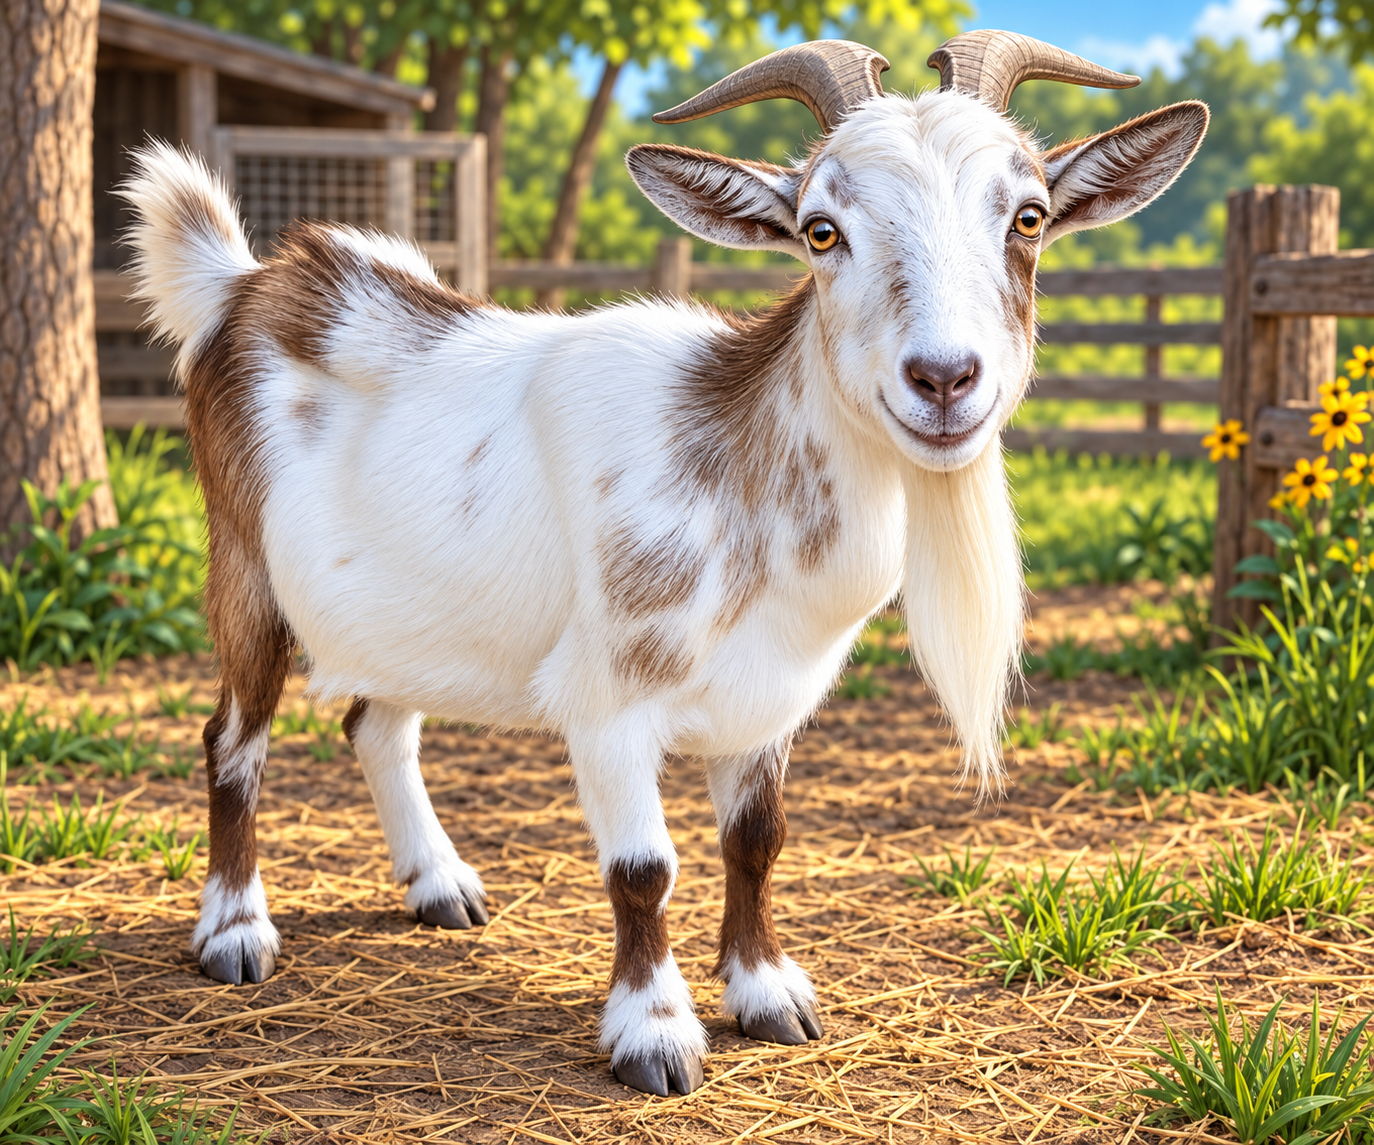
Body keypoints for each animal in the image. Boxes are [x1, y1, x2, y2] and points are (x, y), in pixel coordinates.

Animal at [122, 29, 1207, 1096]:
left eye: (1029, 217)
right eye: (821, 230)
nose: (944, 379)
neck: (739, 487)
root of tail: (248, 283)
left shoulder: (773, 699)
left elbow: (756, 841)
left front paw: (768, 993)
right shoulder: (606, 700)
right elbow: (642, 869)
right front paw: (655, 1035)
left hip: (407, 611)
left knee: (376, 722)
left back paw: (440, 885)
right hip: (245, 573)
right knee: (232, 738)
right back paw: (235, 931)